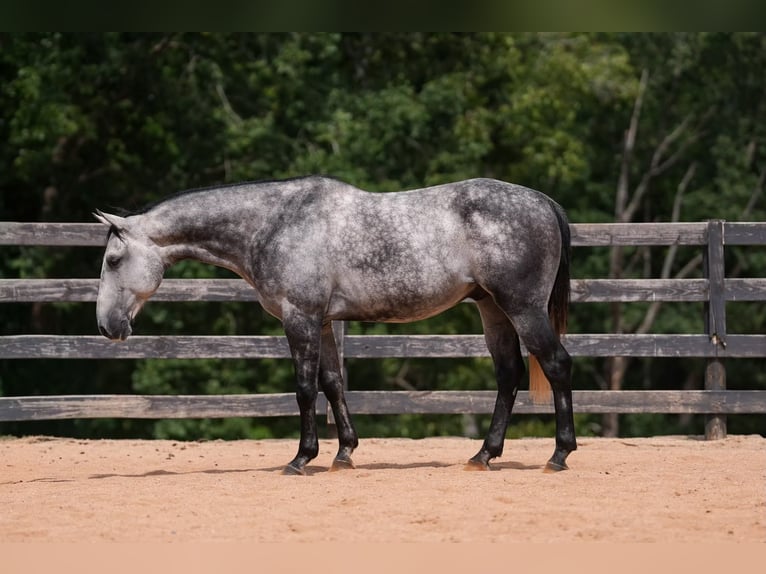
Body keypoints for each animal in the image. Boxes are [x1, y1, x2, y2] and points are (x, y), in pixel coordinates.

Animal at [95, 175, 576, 475]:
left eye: (113, 260)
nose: (106, 326)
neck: (275, 224)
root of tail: (543, 202)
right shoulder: (323, 321)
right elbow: (332, 383)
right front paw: (344, 453)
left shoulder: (300, 318)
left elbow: (305, 388)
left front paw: (301, 458)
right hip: (492, 309)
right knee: (509, 374)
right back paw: (484, 455)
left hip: (522, 307)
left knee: (556, 364)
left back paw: (559, 454)